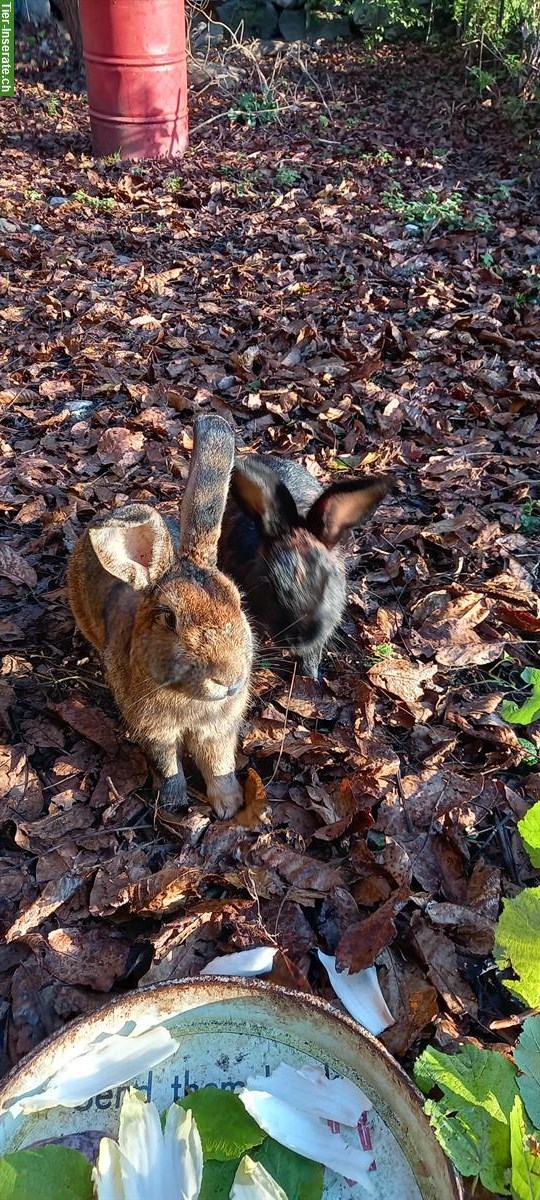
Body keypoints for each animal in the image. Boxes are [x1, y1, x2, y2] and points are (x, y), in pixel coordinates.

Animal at [67, 417, 253, 820]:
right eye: (169, 618)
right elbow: (168, 766)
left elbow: (219, 765)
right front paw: (174, 804)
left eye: (238, 600)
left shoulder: (217, 731)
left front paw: (229, 806)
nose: (229, 680)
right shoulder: (155, 733)